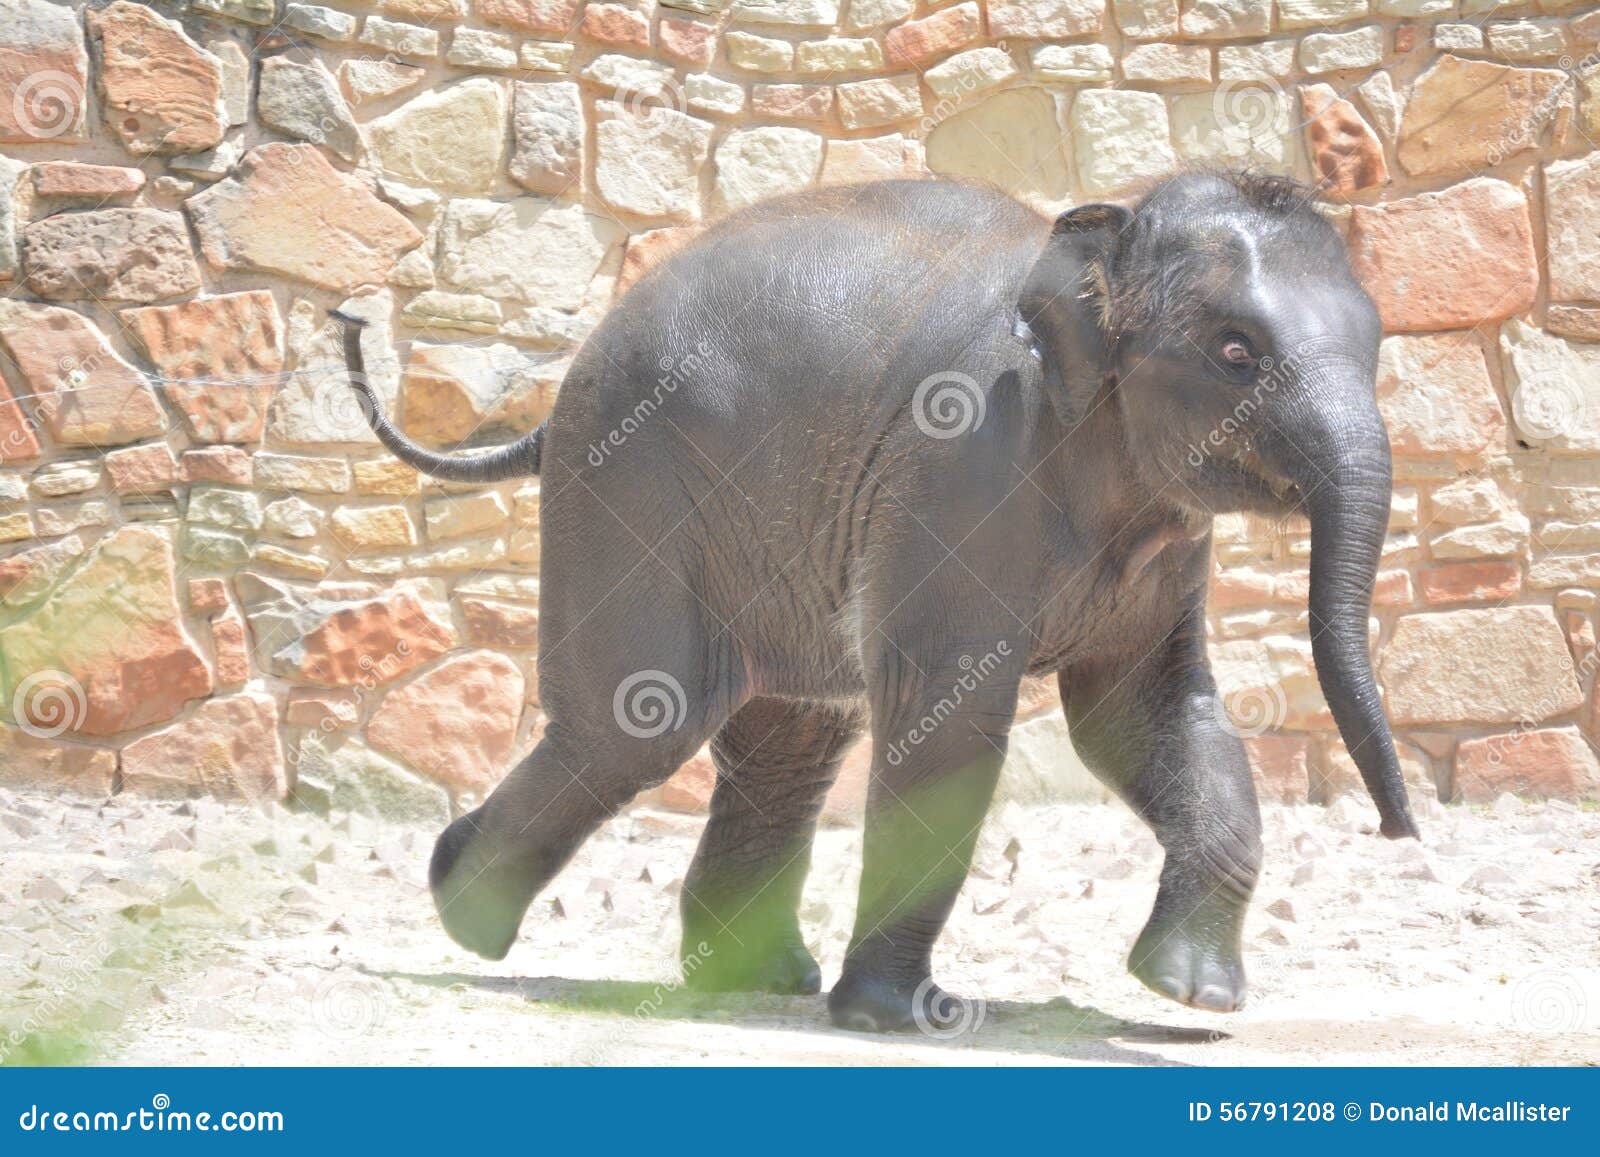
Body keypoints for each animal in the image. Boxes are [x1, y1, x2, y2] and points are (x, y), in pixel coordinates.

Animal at [335, 168, 1419, 1034]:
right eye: (1235, 352)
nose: (1402, 831)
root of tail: (559, 393)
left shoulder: (1158, 539)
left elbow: (1145, 715)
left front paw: (1193, 997)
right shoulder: (964, 462)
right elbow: (949, 717)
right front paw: (895, 1017)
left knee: (788, 739)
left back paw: (754, 979)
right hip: (628, 475)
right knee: (640, 721)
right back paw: (464, 912)